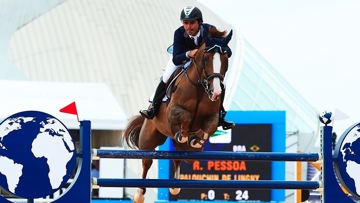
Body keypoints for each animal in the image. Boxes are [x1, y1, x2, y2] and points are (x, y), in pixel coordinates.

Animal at [122, 27, 232, 203]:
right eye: (206, 58)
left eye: (226, 59)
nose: (215, 92)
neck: (200, 87)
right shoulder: (172, 112)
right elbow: (186, 116)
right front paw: (186, 135)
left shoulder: (212, 116)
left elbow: (211, 126)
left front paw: (196, 140)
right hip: (148, 138)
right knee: (147, 160)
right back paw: (139, 194)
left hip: (185, 153)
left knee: (178, 157)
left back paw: (175, 185)